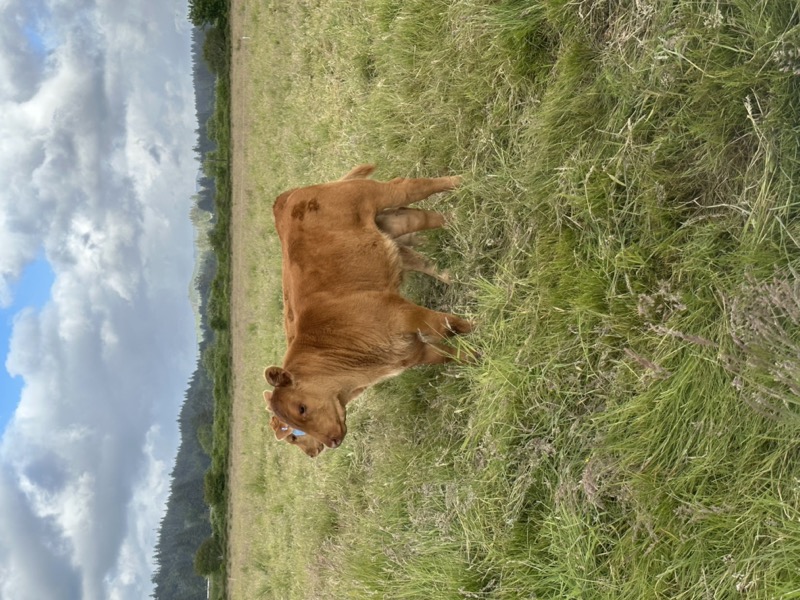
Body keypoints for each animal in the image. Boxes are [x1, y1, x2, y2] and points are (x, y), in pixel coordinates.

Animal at [264, 165, 473, 449]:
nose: (330, 443)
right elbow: (455, 353)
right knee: (425, 221)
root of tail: (289, 197)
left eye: (301, 409)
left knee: (413, 186)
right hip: (391, 223)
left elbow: (452, 326)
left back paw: (464, 180)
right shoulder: (415, 353)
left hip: (381, 194)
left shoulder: (405, 315)